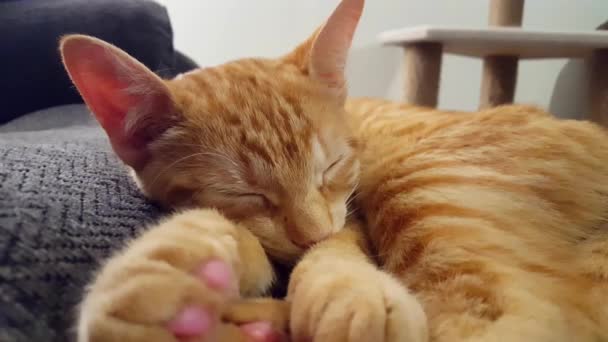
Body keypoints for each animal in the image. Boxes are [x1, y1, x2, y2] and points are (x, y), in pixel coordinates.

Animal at [60, 0, 608, 340]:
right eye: (247, 193)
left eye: (333, 167)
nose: (311, 234)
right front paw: (173, 271)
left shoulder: (351, 213)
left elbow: (340, 244)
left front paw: (345, 290)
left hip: (420, 179)